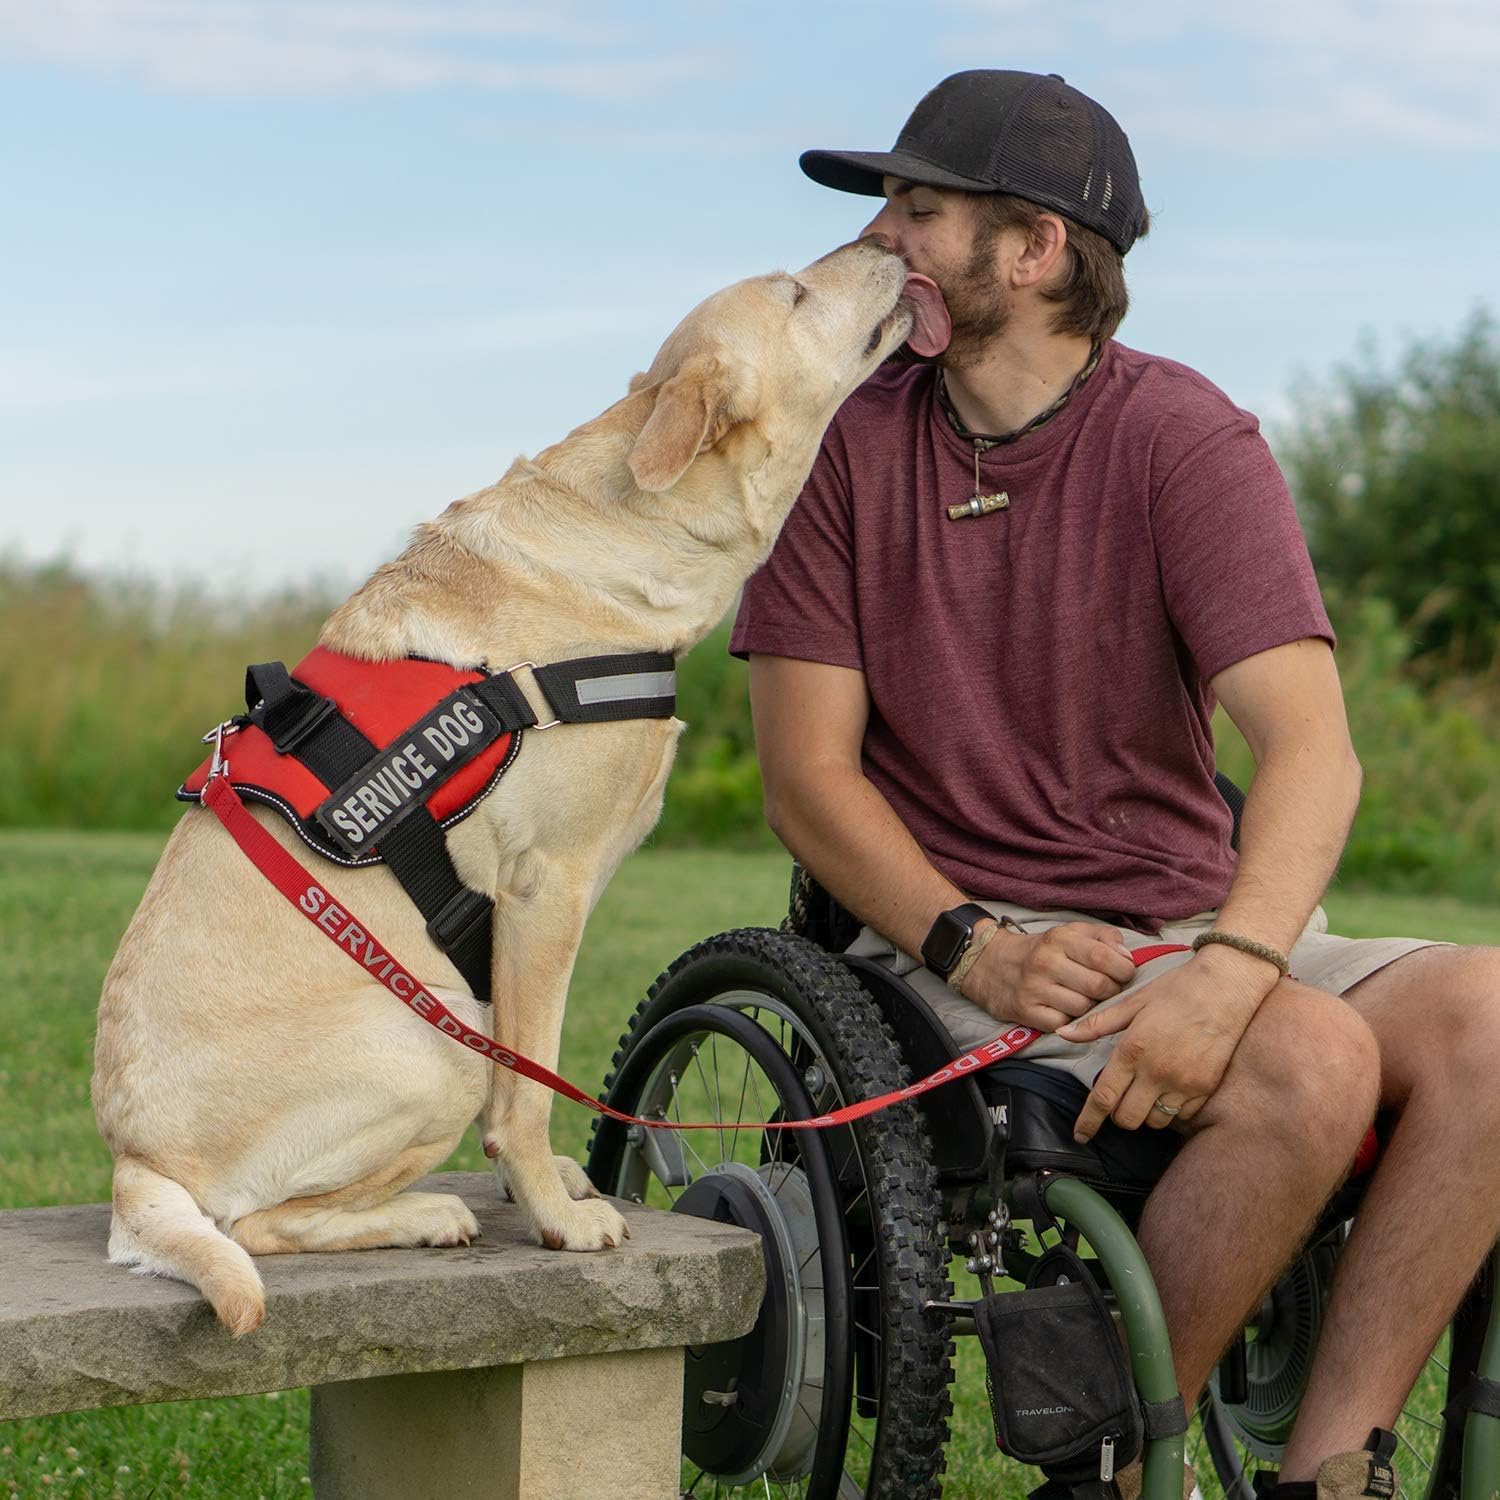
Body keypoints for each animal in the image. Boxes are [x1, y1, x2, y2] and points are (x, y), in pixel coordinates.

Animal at [90, 237, 948, 1338]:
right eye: (796, 292)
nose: (890, 243)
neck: (637, 527)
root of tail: (133, 1169)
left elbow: (527, 1078)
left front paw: (552, 1192)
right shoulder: (547, 887)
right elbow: (531, 1093)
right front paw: (556, 1216)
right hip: (433, 1036)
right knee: (256, 1226)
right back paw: (427, 1213)